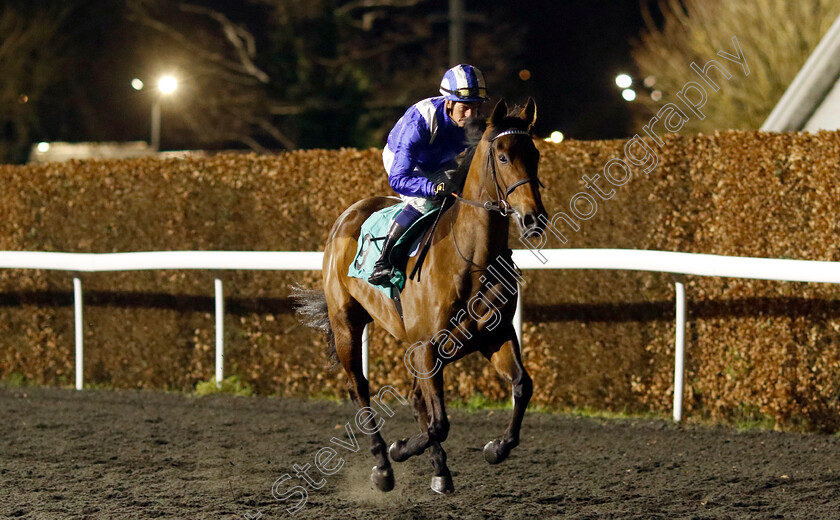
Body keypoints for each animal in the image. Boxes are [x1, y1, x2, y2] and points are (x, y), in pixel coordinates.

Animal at [292, 98, 548, 496]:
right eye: (503, 156)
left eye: (534, 153)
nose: (534, 218)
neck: (470, 258)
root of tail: (348, 215)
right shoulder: (428, 344)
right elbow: (439, 423)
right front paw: (399, 449)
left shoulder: (494, 336)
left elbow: (522, 386)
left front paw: (496, 447)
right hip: (347, 324)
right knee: (360, 391)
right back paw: (383, 466)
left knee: (415, 398)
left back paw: (439, 469)